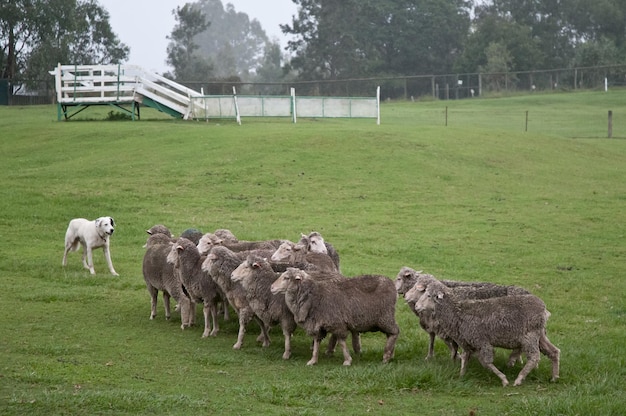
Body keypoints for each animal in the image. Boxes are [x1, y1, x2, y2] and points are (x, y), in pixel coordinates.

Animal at [266, 268, 394, 366]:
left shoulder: (337, 323)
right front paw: (313, 360)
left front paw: (347, 360)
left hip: (385, 317)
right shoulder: (316, 324)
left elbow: (342, 342)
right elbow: (316, 342)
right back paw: (390, 354)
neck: (313, 296)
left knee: (394, 333)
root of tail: (390, 282)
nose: (271, 287)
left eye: (286, 278)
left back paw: (386, 356)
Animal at [412, 278, 560, 388]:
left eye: (429, 295)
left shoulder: (481, 341)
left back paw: (519, 379)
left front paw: (504, 379)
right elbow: (465, 358)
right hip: (539, 335)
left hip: (530, 336)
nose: (417, 306)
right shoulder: (468, 343)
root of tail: (544, 308)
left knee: (534, 357)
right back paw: (554, 377)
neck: (458, 312)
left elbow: (486, 362)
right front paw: (461, 375)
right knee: (554, 351)